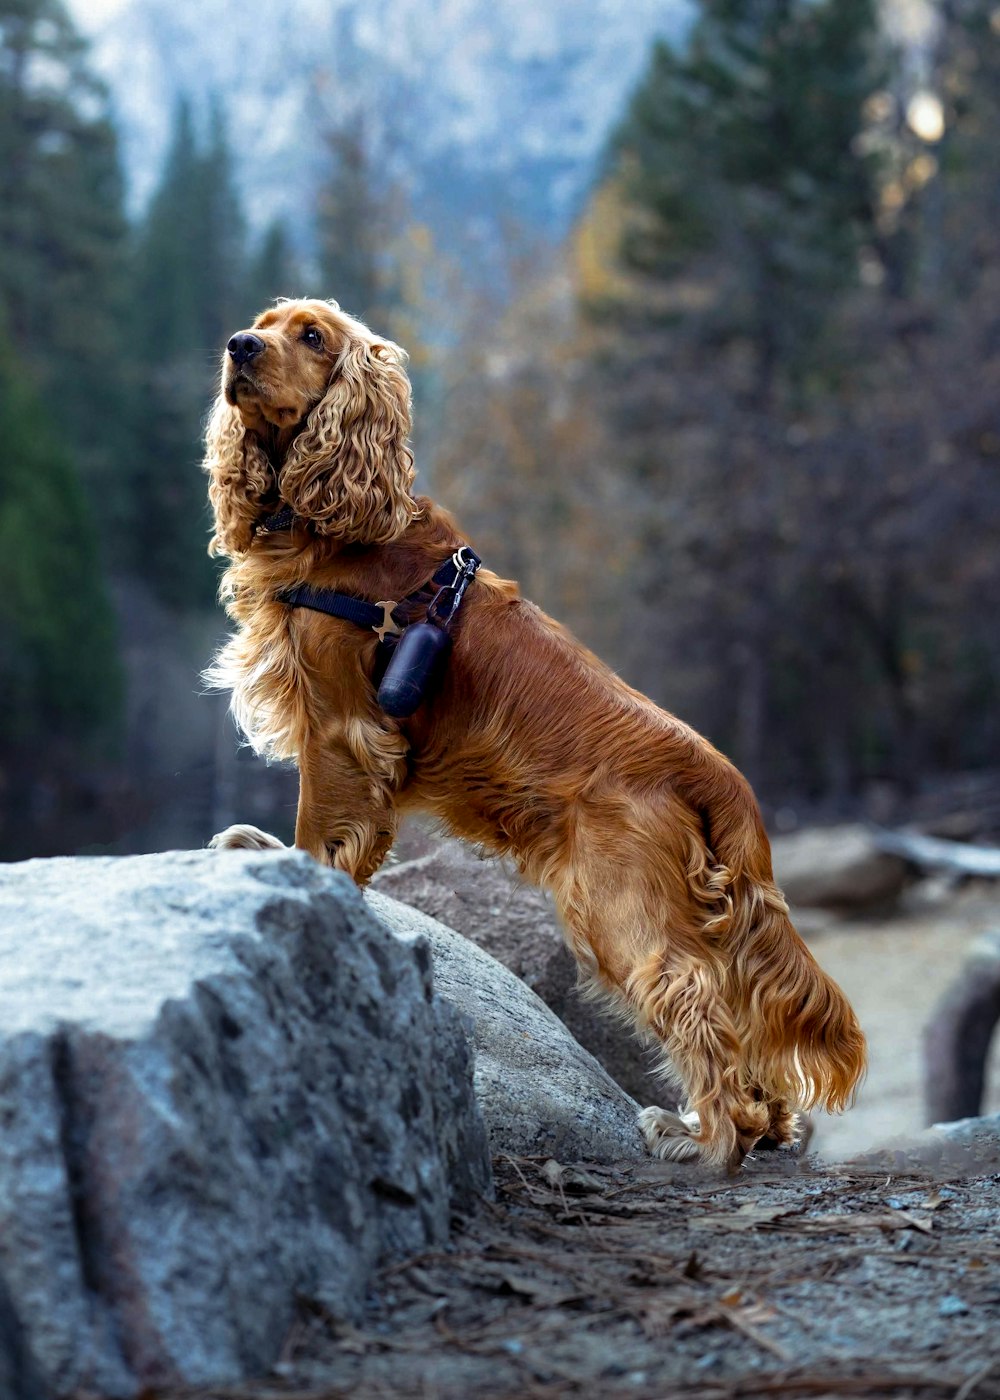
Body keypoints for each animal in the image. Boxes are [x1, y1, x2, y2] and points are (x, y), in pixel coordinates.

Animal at [203, 295, 862, 1170]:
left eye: (311, 336)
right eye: (265, 320)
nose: (239, 346)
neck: (338, 518)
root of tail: (716, 772)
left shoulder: (342, 727)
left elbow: (323, 828)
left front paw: (291, 871)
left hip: (616, 904)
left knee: (689, 993)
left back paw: (704, 1139)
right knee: (734, 1003)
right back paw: (765, 1125)